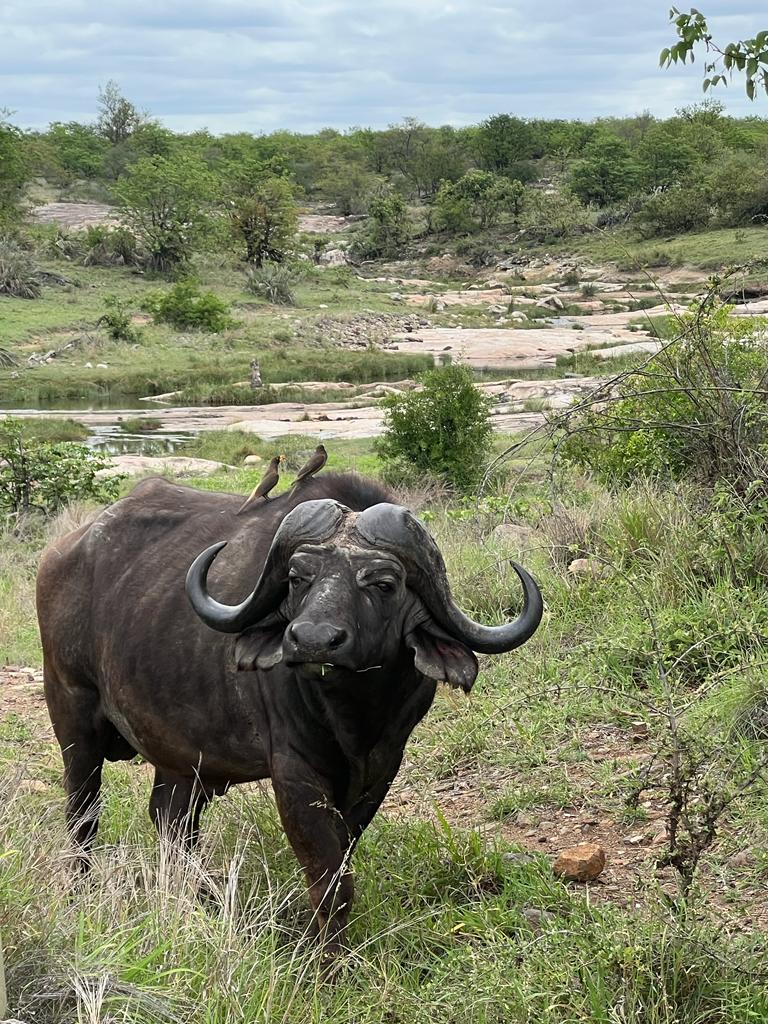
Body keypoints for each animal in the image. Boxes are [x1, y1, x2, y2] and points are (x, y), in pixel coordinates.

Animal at [37, 472, 542, 950]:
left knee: (171, 821)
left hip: (181, 758)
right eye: (299, 576)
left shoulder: (380, 770)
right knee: (83, 814)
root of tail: (60, 553)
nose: (312, 639)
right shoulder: (295, 773)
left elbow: (342, 858)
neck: (354, 716)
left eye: (384, 583)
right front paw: (327, 963)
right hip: (73, 719)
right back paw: (81, 891)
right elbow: (329, 880)